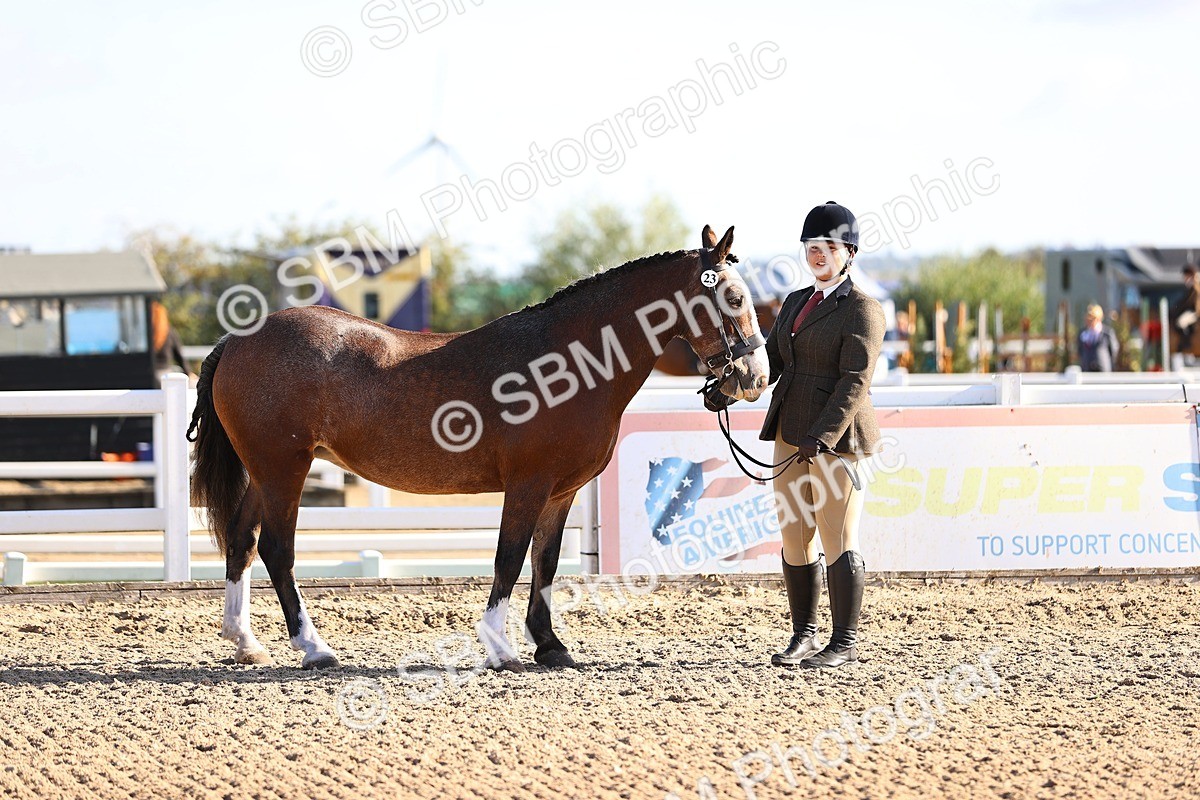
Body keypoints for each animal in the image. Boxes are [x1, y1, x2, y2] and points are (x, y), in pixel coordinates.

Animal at [187, 224, 769, 671]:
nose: (755, 378)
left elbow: (545, 561)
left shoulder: (561, 492)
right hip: (284, 469)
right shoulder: (528, 484)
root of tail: (237, 339)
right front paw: (501, 647)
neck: (569, 362)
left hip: (265, 471)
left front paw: (550, 646)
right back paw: (314, 648)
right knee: (276, 549)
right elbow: (509, 557)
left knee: (240, 540)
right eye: (736, 298)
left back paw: (246, 643)